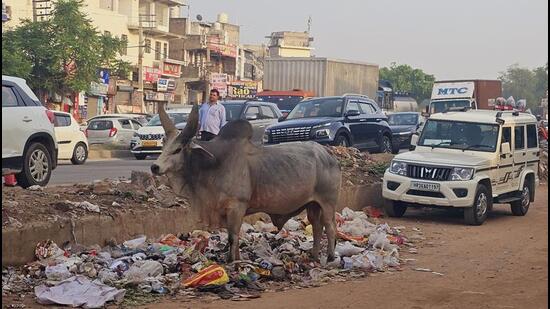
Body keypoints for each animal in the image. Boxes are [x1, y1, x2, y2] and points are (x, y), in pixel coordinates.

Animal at [150, 103, 340, 260]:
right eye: (163, 146)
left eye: (178, 149)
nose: (154, 167)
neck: (214, 164)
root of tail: (328, 155)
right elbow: (232, 237)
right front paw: (237, 259)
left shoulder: (237, 206)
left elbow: (232, 237)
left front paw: (233, 263)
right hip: (312, 204)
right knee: (316, 226)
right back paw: (314, 256)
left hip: (328, 202)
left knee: (330, 226)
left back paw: (330, 257)